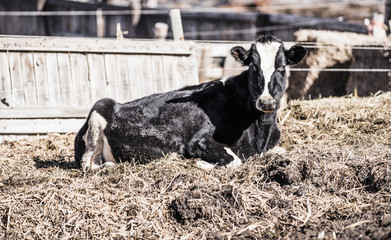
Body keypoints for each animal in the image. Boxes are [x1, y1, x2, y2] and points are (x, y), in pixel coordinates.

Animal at [73, 35, 306, 171]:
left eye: (282, 67)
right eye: (253, 67)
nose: (266, 102)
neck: (260, 132)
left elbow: (281, 151)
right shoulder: (198, 141)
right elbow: (235, 160)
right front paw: (201, 163)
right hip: (99, 107)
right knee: (89, 164)